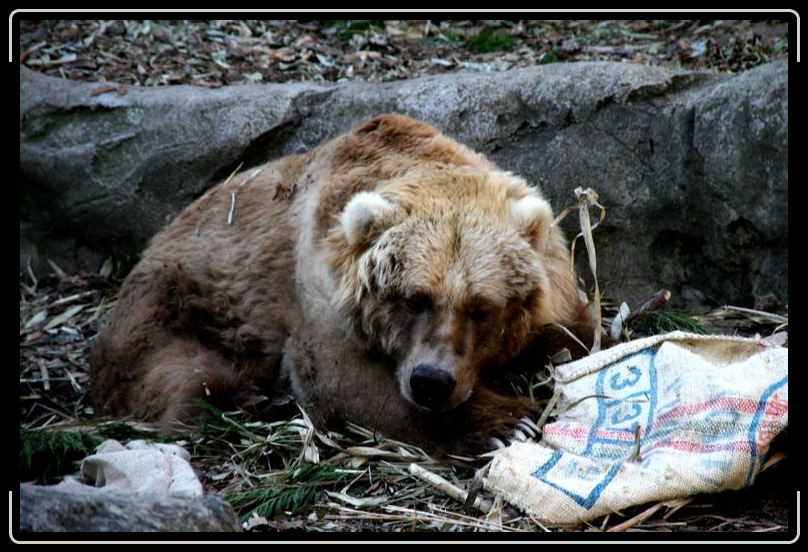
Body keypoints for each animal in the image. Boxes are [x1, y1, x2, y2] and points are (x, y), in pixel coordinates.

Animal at [90, 113, 596, 456]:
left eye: (482, 307)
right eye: (414, 299)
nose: (431, 382)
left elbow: (575, 332)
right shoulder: (319, 295)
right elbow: (346, 383)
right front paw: (506, 423)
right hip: (175, 305)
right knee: (179, 376)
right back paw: (252, 397)